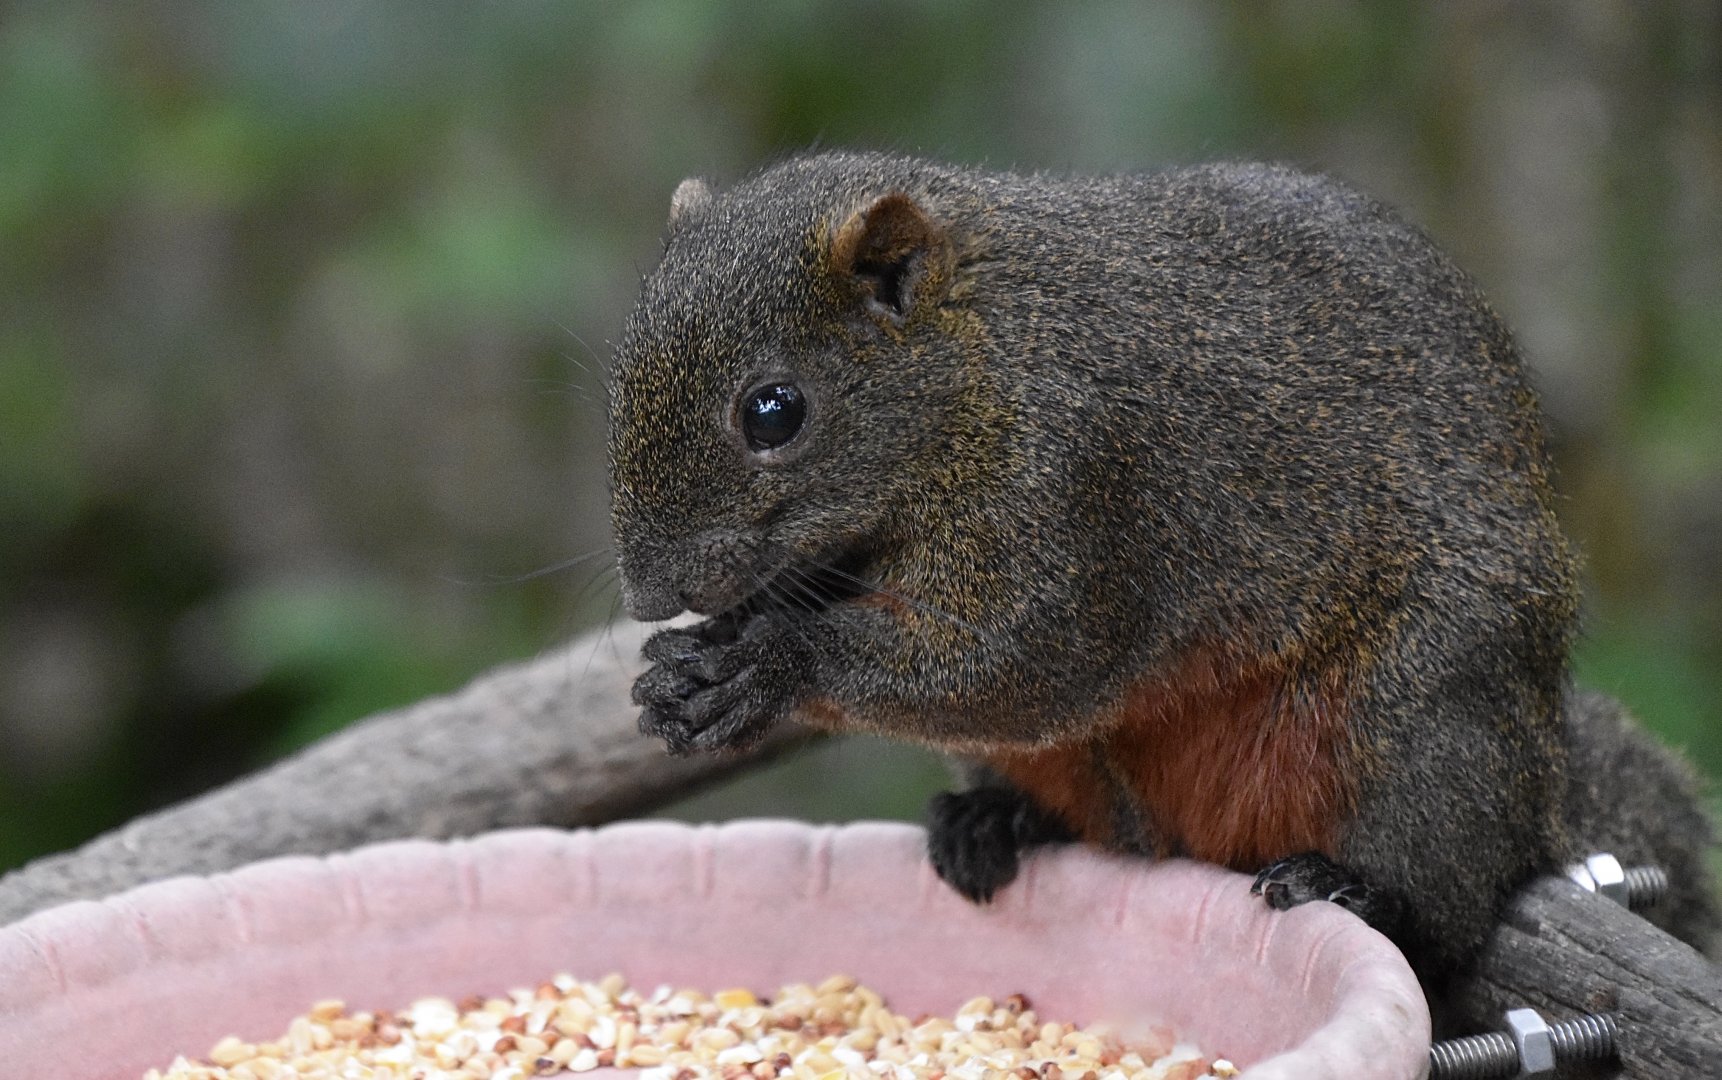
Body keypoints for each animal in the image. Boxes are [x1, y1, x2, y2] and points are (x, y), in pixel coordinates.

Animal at [604, 150, 1718, 989]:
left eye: (774, 411)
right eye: (618, 380)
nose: (649, 594)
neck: (982, 364)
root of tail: (1550, 780)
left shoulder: (1077, 484)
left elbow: (1011, 662)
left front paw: (765, 666)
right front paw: (687, 667)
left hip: (1424, 716)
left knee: (1449, 893)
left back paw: (1358, 889)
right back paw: (996, 817)